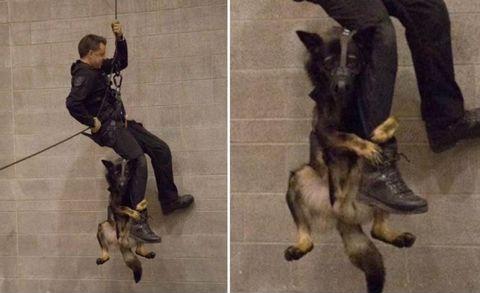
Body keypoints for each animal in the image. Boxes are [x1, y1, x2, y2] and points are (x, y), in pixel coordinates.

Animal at [284, 27, 416, 292]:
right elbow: (348, 135)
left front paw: (382, 133)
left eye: (353, 62)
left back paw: (395, 235)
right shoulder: (326, 131)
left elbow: (394, 118)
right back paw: (300, 246)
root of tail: (342, 216)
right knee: (308, 235)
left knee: (377, 229)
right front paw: (367, 147)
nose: (342, 86)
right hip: (301, 177)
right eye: (328, 64)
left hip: (377, 198)